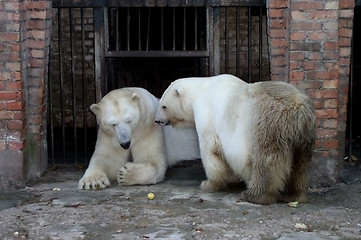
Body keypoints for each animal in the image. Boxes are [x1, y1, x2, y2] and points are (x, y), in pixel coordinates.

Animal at [155, 73, 316, 204]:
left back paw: (254, 195)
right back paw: (292, 195)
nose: (157, 120)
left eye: (163, 106)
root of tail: (298, 110)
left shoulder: (206, 115)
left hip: (266, 126)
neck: (200, 90)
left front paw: (208, 184)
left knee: (266, 162)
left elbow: (211, 151)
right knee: (300, 165)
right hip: (303, 137)